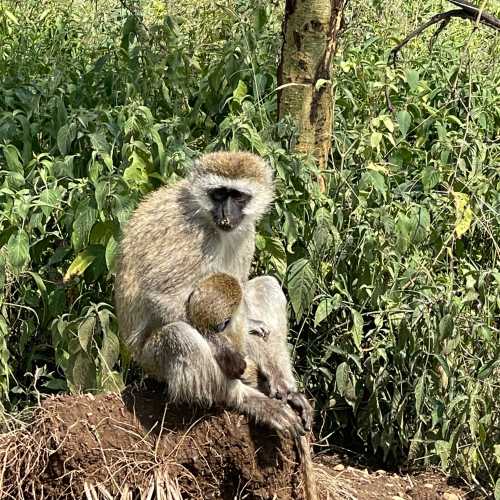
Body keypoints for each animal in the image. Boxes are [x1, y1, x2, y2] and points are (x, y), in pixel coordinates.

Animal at [115, 150, 308, 436]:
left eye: (237, 196)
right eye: (218, 194)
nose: (226, 213)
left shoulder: (246, 232)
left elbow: (241, 294)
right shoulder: (189, 232)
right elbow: (161, 296)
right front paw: (227, 354)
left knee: (267, 287)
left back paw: (281, 382)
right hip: (151, 362)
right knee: (180, 335)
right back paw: (244, 398)